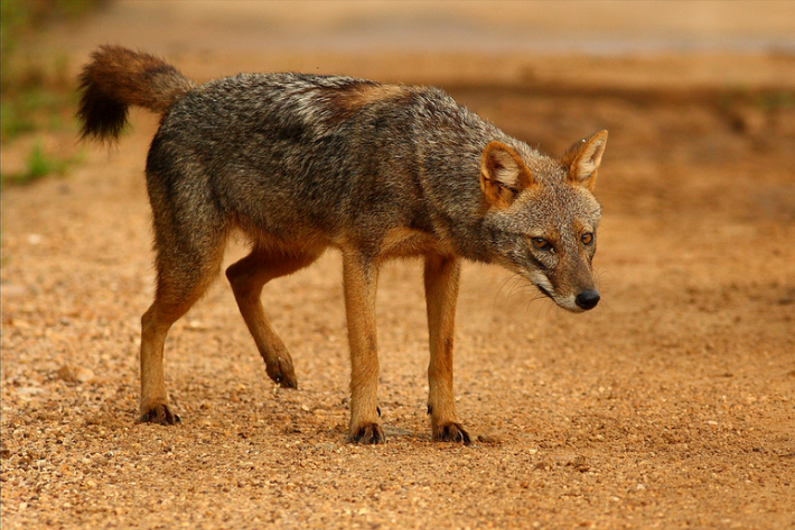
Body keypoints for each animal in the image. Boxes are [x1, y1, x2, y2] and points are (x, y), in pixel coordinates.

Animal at [78, 45, 607, 444]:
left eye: (586, 239)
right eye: (542, 243)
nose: (589, 298)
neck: (422, 164)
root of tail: (186, 94)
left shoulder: (442, 262)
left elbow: (443, 355)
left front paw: (446, 422)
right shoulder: (360, 255)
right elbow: (367, 351)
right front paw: (365, 423)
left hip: (295, 252)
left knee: (239, 277)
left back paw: (279, 362)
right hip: (200, 264)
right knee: (151, 320)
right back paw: (155, 404)